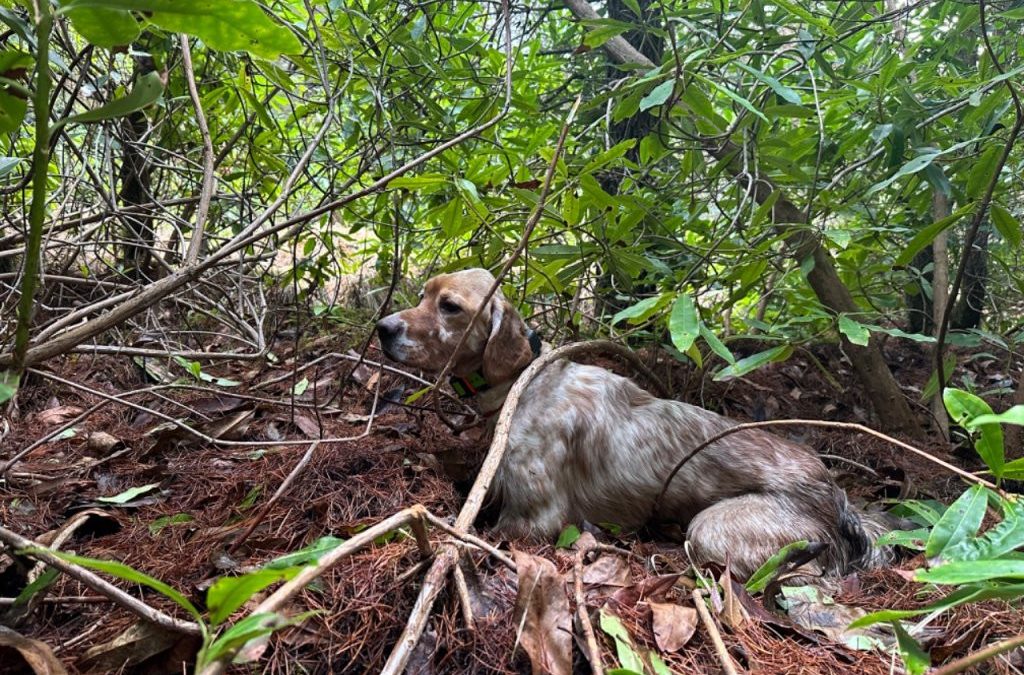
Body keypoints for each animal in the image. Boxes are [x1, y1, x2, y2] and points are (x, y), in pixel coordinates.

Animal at [376, 266, 888, 577]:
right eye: (422, 295)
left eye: (450, 306)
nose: (382, 328)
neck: (523, 381)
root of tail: (834, 491)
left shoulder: (535, 519)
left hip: (712, 529)